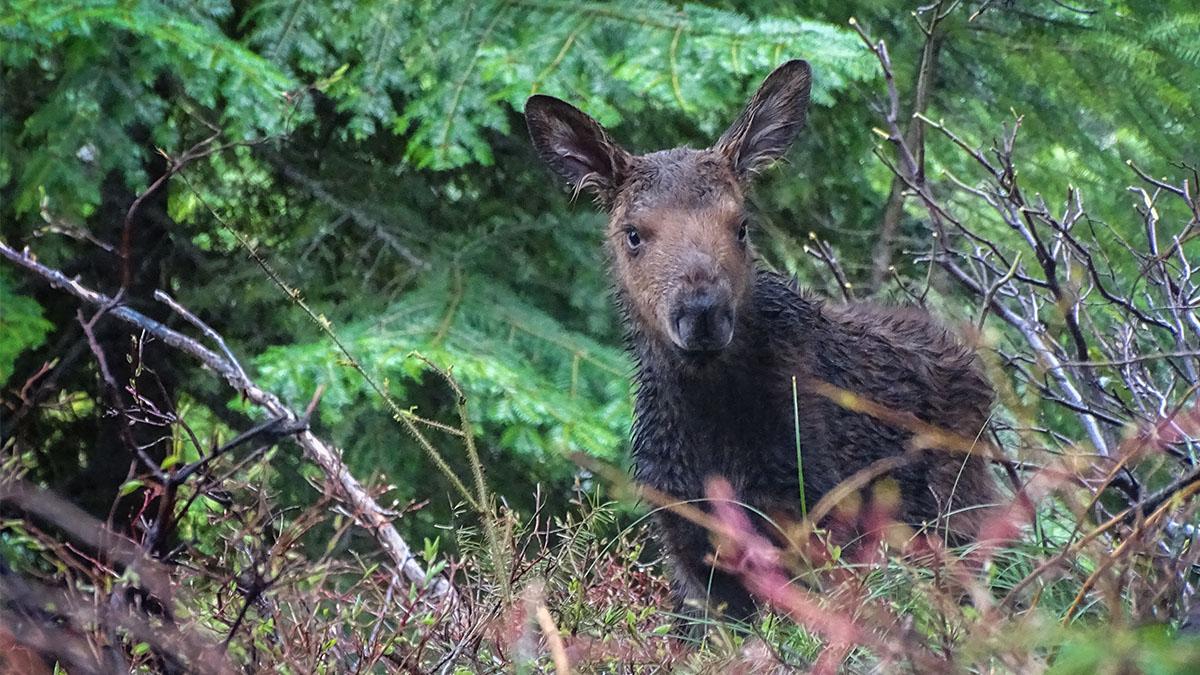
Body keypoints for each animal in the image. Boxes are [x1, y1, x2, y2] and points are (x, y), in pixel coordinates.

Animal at [525, 60, 1003, 619]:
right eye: (634, 234)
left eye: (741, 225)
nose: (702, 313)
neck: (710, 428)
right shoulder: (692, 552)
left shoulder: (814, 523)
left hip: (957, 515)